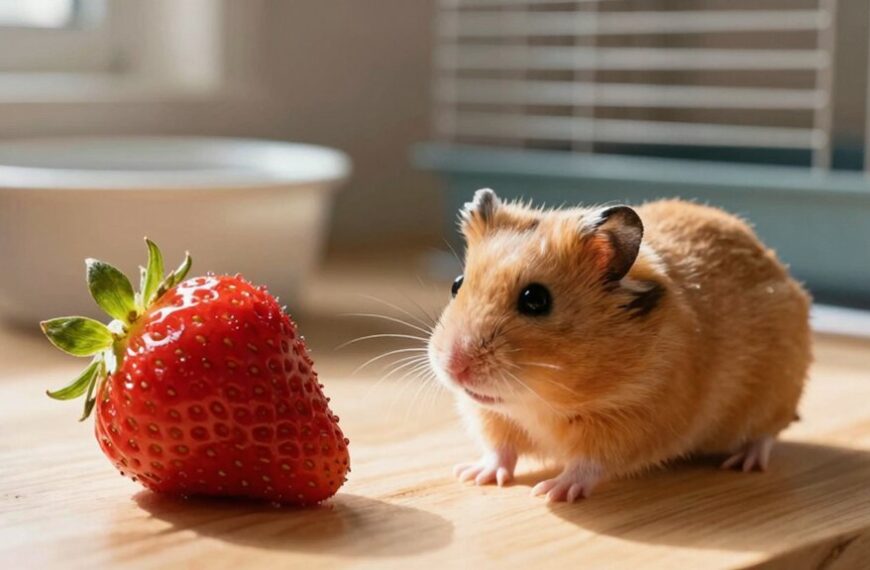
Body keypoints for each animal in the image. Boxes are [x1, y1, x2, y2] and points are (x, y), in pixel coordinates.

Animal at [427, 189, 811, 502]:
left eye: (535, 299)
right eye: (456, 284)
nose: (453, 366)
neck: (538, 404)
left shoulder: (634, 421)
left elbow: (588, 463)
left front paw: (551, 491)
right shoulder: (493, 417)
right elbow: (499, 449)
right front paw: (473, 475)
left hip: (775, 394)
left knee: (765, 434)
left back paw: (744, 462)